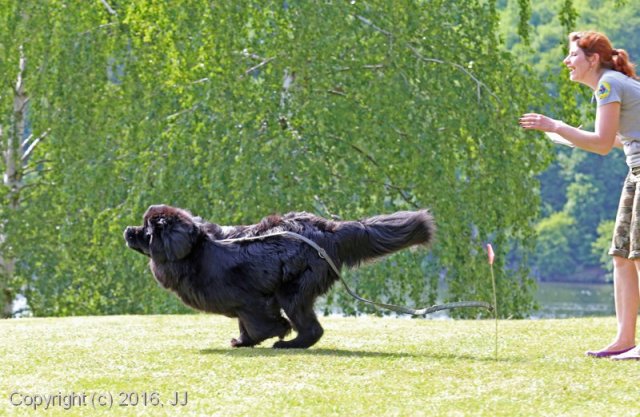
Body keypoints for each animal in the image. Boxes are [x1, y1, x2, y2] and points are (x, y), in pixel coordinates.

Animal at [125, 205, 436, 348]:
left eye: (146, 231)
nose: (127, 230)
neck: (197, 249)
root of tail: (328, 231)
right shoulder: (243, 303)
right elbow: (244, 325)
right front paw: (243, 342)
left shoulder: (251, 300)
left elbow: (259, 323)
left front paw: (273, 332)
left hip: (292, 291)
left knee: (311, 328)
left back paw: (289, 343)